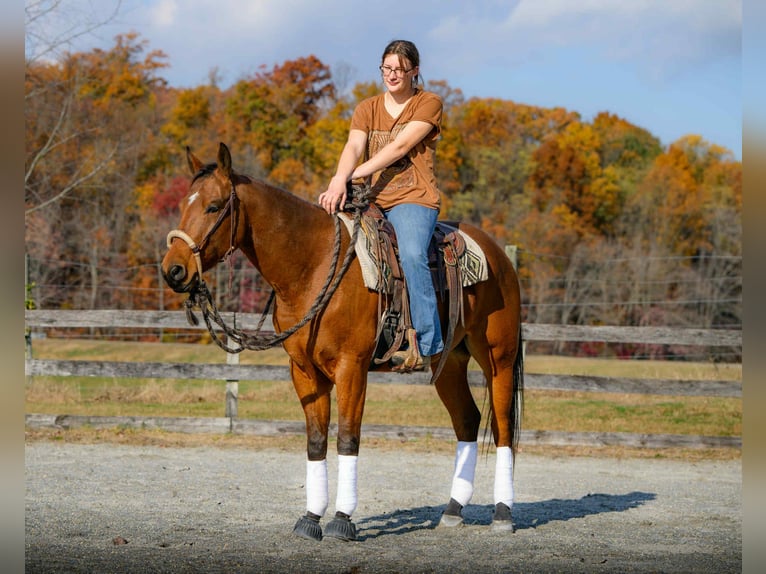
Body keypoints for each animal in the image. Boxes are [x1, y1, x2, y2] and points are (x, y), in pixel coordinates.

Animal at [161, 142, 524, 541]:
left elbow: (348, 437)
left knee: (503, 426)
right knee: (467, 421)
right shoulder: (305, 371)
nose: (173, 270)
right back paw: (453, 509)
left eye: (213, 206)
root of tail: (499, 255)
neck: (313, 264)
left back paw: (503, 513)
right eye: (183, 206)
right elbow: (316, 441)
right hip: (449, 363)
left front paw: (341, 520)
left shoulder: (352, 368)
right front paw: (310, 518)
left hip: (498, 357)